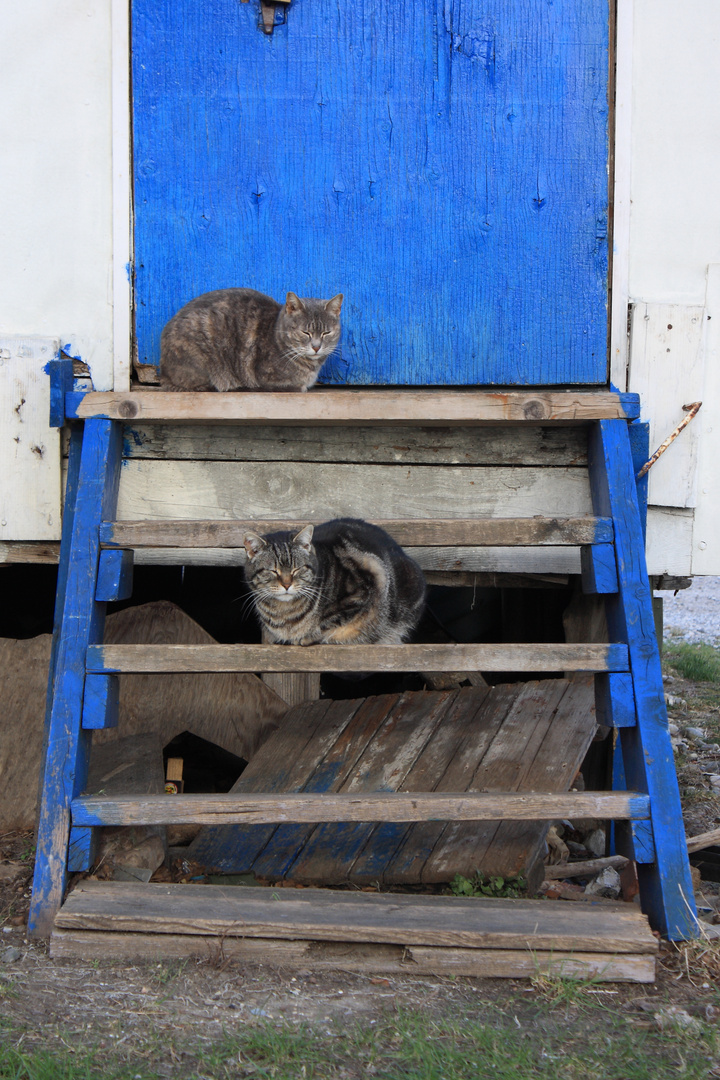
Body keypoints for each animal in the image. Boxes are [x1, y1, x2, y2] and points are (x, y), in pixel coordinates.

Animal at [243, 518, 423, 643]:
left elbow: (329, 620)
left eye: (297, 569)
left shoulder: (365, 589)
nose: (287, 585)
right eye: (273, 571)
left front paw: (309, 636)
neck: (284, 612)